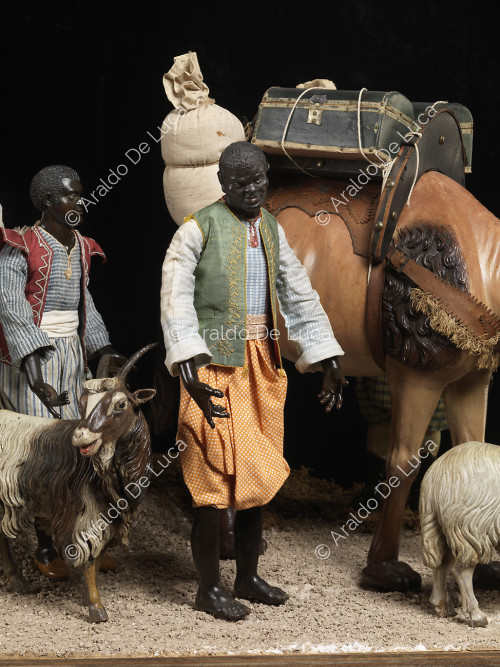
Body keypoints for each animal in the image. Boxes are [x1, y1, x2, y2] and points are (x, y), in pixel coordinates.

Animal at [0, 348, 156, 624]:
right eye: (82, 403)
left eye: (121, 404)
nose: (81, 436)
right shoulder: (87, 514)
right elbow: (90, 560)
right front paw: (96, 607)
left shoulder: (109, 514)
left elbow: (100, 554)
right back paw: (16, 579)